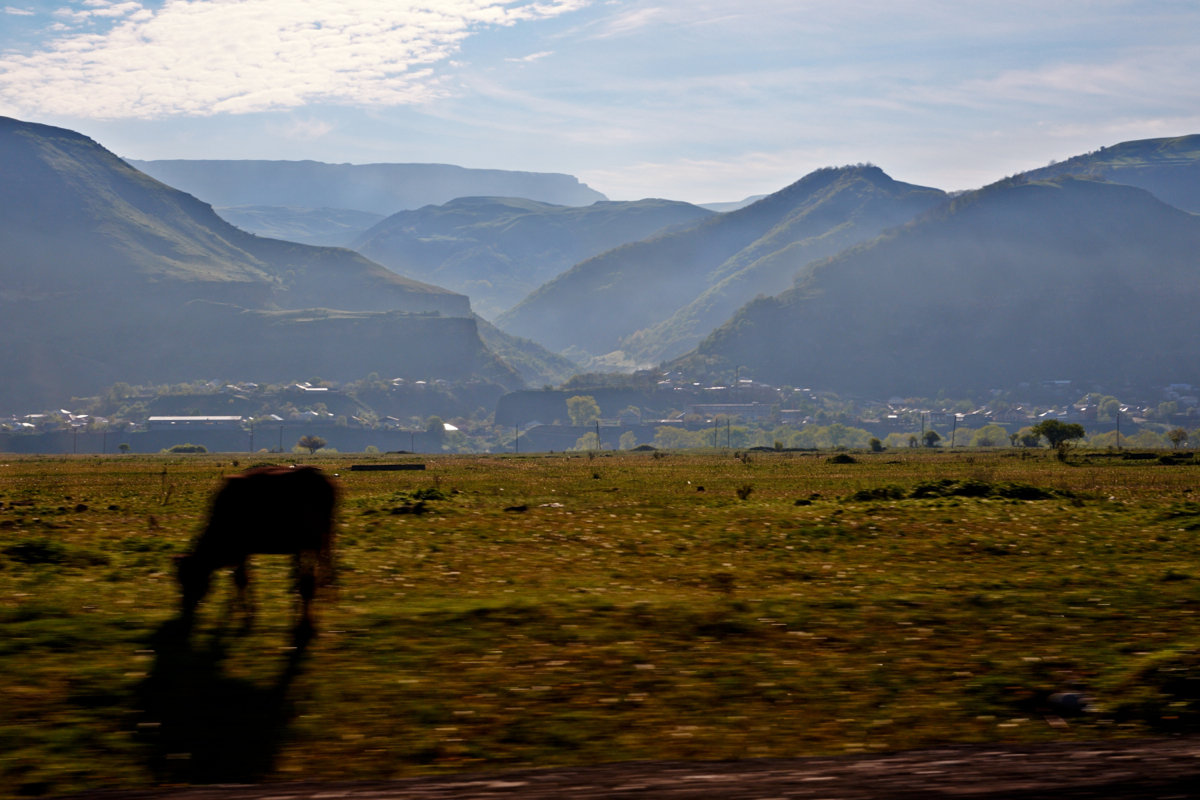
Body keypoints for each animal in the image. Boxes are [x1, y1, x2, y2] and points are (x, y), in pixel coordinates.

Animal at [177, 465, 338, 628]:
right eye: (180, 580)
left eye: (193, 577)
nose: (186, 610)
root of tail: (323, 479)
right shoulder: (243, 554)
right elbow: (242, 579)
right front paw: (237, 611)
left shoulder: (241, 551)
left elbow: (241, 580)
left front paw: (245, 614)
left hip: (315, 541)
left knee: (313, 578)